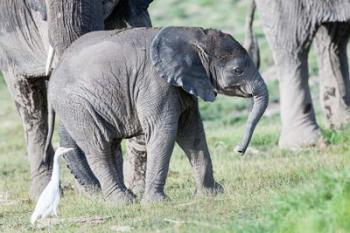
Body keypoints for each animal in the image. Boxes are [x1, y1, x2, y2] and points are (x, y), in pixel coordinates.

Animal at [45, 26, 270, 203]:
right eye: (238, 70)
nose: (238, 150)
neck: (193, 35)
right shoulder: (155, 83)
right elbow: (164, 131)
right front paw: (156, 203)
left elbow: (192, 132)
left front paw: (212, 194)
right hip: (76, 105)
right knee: (98, 146)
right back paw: (123, 202)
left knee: (109, 146)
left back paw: (127, 197)